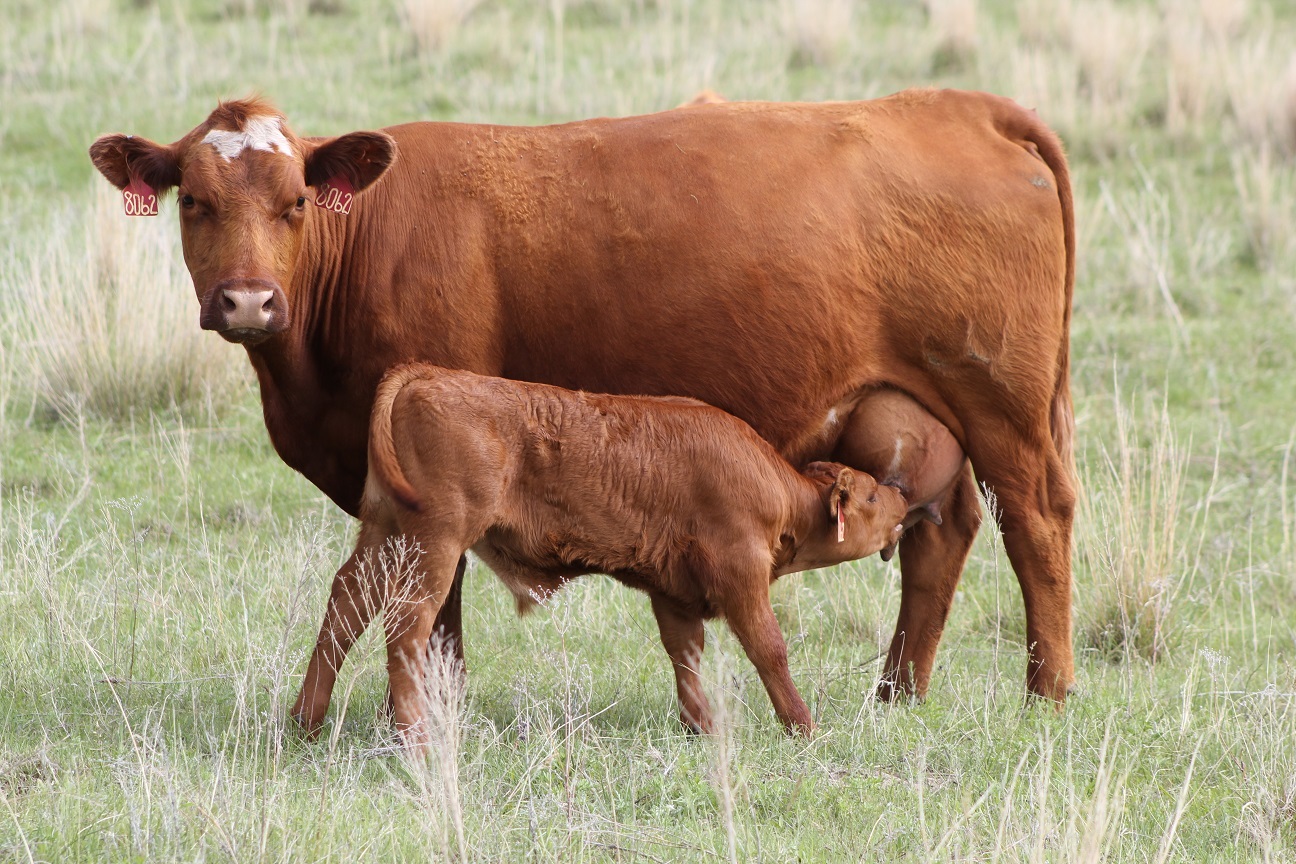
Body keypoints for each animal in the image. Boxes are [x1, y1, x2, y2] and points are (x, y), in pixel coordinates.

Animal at [293, 364, 909, 743]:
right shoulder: (741, 577)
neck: (777, 489)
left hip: (385, 535)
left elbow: (686, 656)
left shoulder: (674, 593)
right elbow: (769, 649)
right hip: (434, 545)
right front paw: (803, 728)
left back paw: (305, 722)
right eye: (869, 495)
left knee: (346, 605)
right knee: (406, 626)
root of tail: (429, 374)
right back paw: (415, 739)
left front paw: (702, 728)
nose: (903, 496)